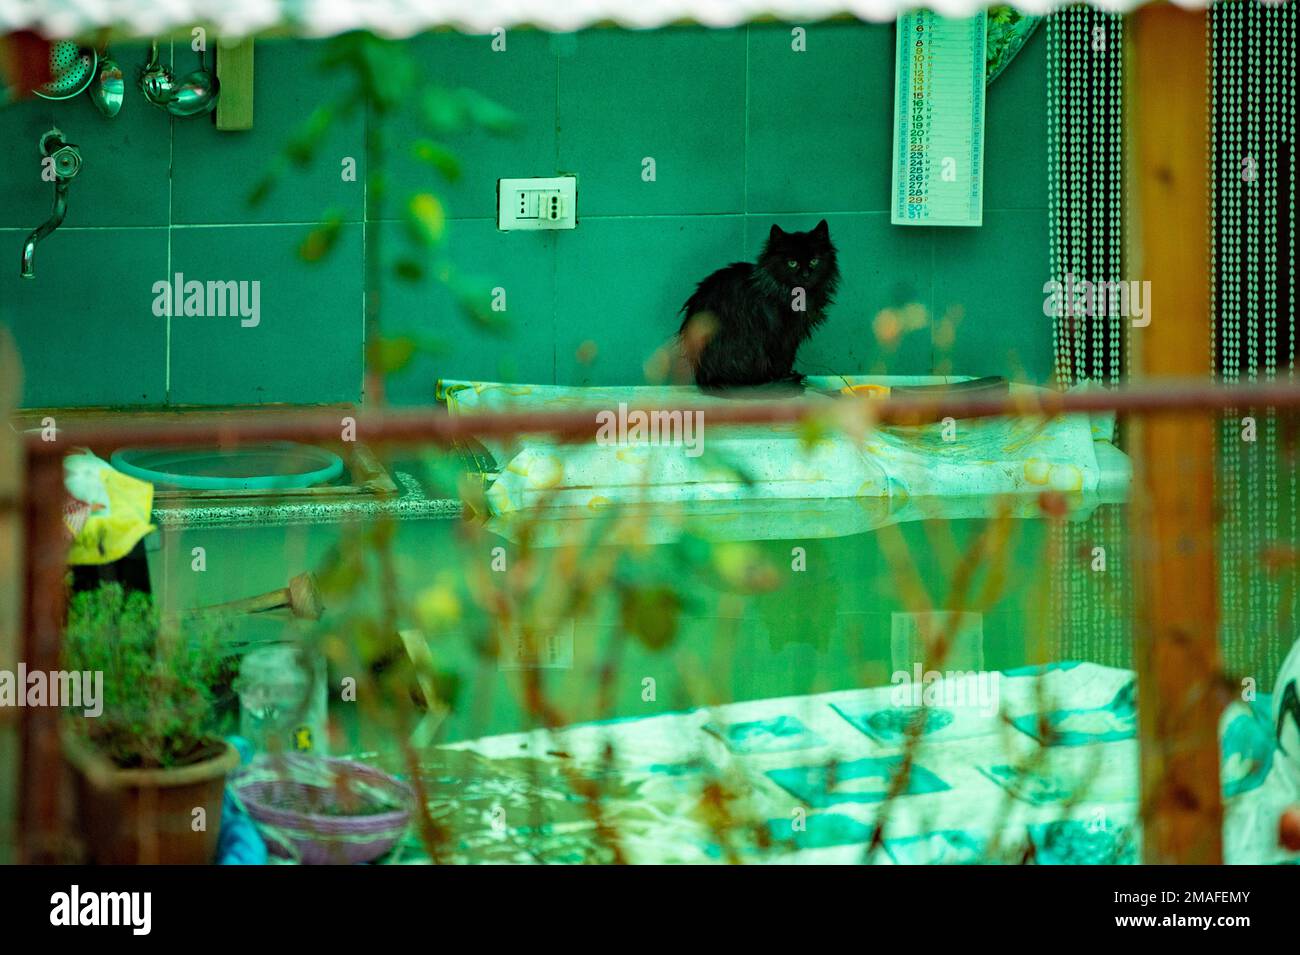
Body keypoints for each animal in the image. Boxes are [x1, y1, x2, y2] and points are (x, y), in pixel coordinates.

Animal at [681, 220, 842, 392]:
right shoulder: (780, 334)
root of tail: (706, 377)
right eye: (792, 263)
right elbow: (782, 359)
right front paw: (785, 376)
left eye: (814, 261)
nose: (806, 275)